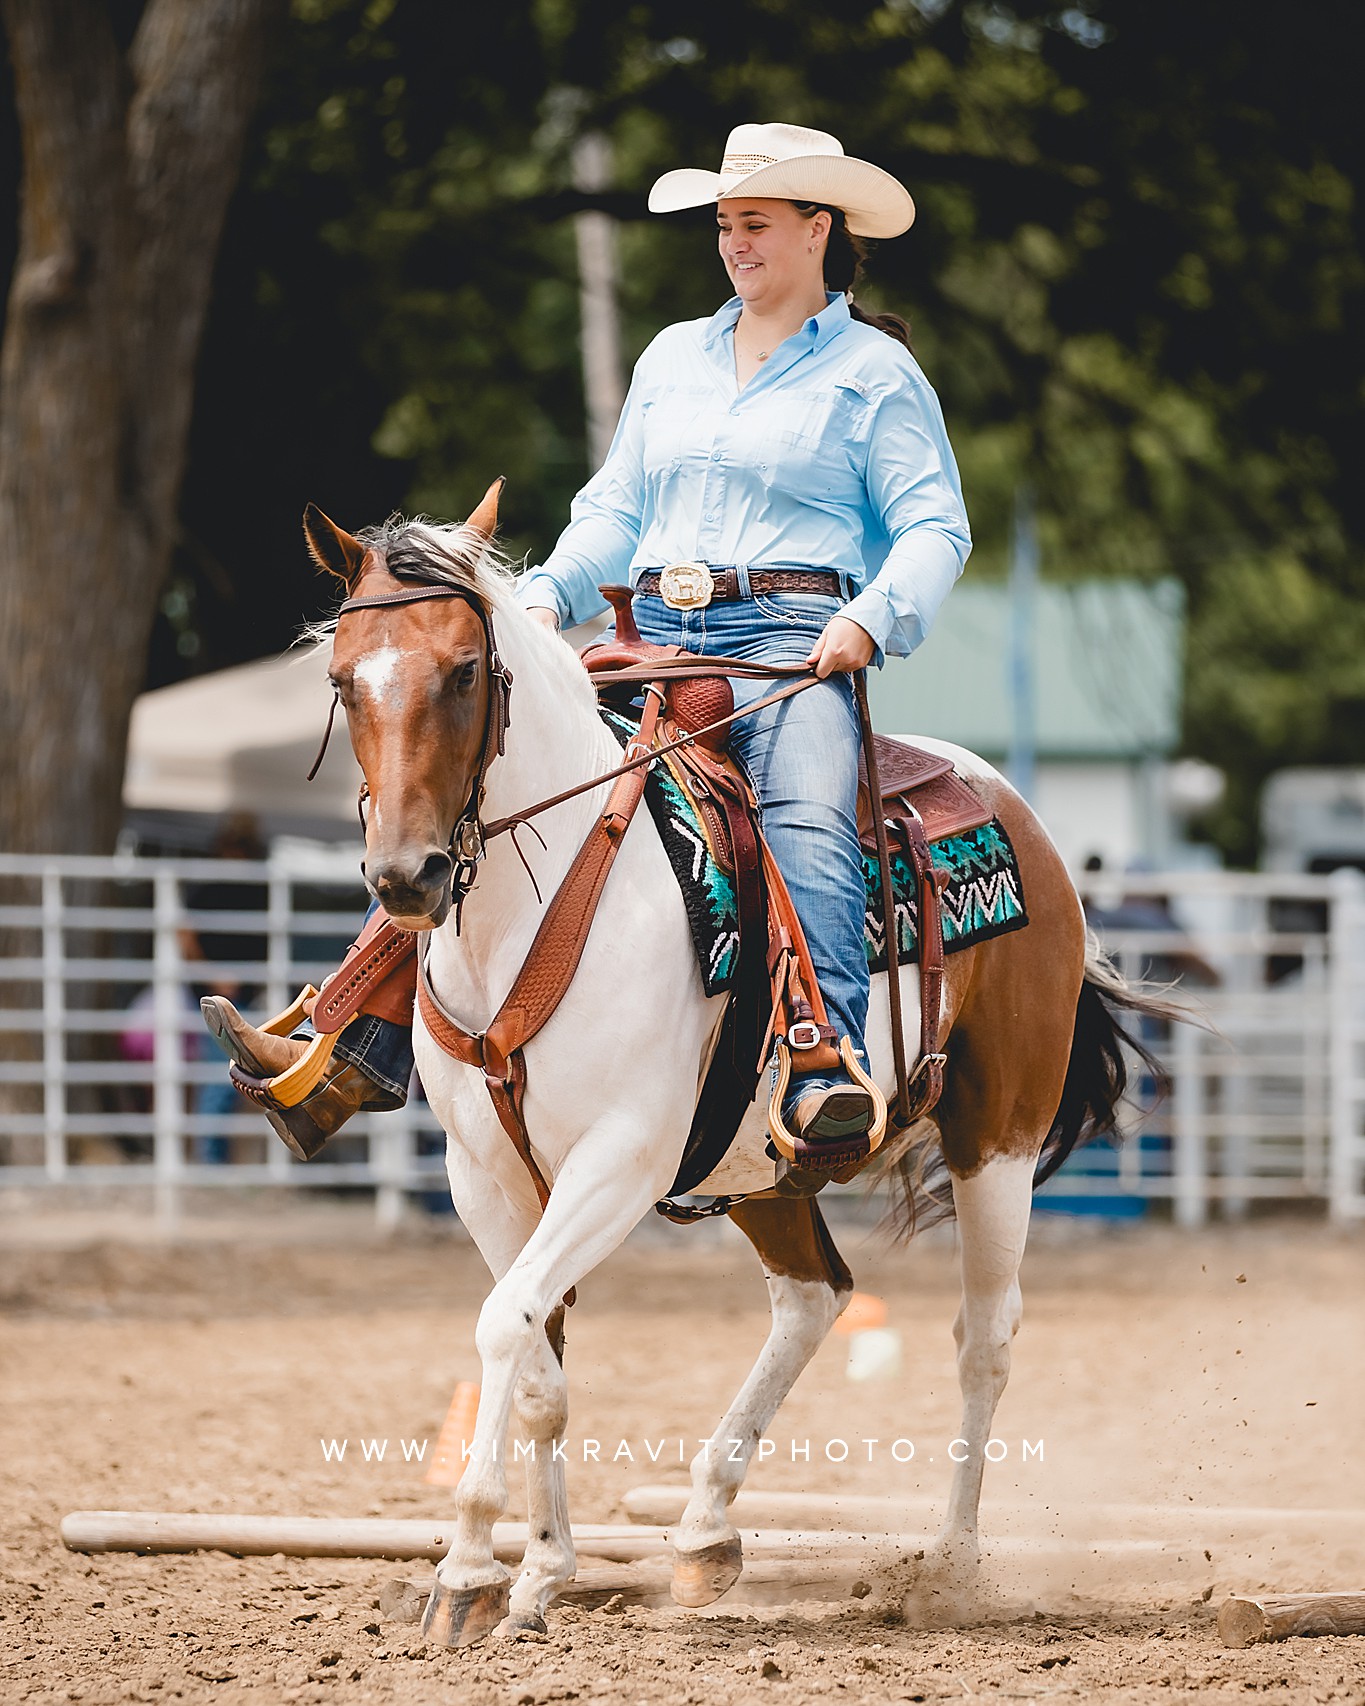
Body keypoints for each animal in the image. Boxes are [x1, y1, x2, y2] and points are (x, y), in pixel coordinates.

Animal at [303, 491, 1167, 1637]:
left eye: (462, 671)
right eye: (343, 678)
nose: (407, 876)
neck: (538, 905)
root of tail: (1015, 812)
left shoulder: (619, 1161)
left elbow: (502, 1324)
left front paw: (465, 1570)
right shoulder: (484, 1173)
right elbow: (533, 1357)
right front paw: (536, 1571)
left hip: (999, 1138)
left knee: (983, 1334)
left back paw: (949, 1563)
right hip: (763, 1160)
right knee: (813, 1298)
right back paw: (706, 1528)